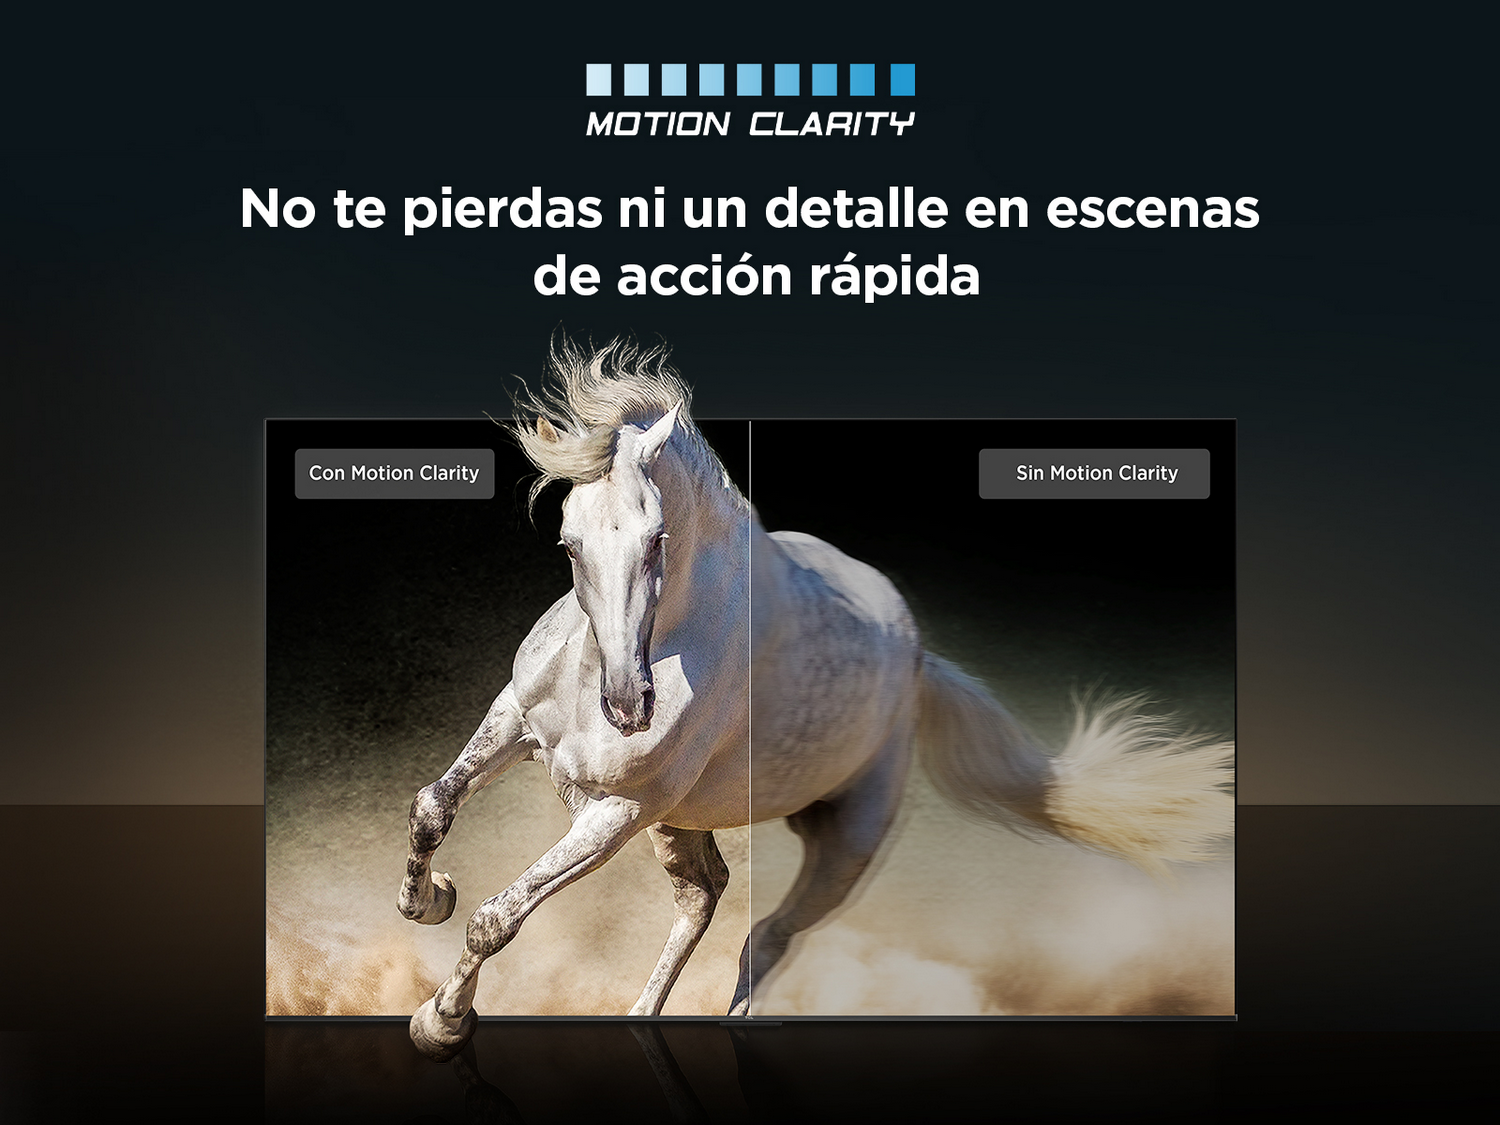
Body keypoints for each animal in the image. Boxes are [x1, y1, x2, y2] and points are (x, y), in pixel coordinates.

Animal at [397, 341, 1234, 1058]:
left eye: (658, 538)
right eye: (569, 542)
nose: (629, 706)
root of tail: (917, 658)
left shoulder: (616, 813)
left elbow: (496, 918)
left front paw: (441, 1022)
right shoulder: (517, 718)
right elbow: (433, 806)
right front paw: (426, 899)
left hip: (841, 846)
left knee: (761, 936)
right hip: (682, 819)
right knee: (705, 896)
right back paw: (637, 1017)